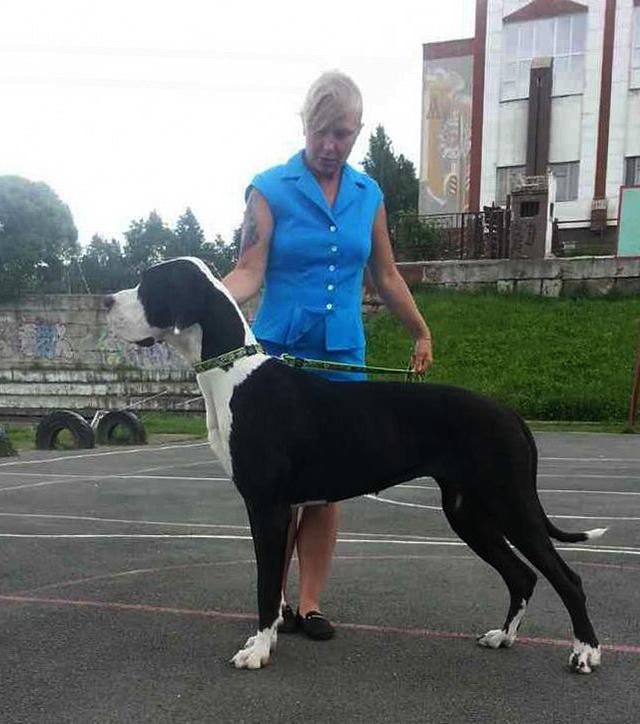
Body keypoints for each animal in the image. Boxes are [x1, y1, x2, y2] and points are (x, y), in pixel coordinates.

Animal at [105, 256, 606, 674]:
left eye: (150, 283)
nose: (107, 301)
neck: (231, 375)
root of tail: (510, 414)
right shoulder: (275, 508)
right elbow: (275, 582)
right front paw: (266, 641)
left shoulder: (267, 507)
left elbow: (266, 585)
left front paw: (259, 650)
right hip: (468, 512)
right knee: (521, 574)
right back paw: (503, 636)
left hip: (510, 502)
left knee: (567, 577)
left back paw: (586, 653)